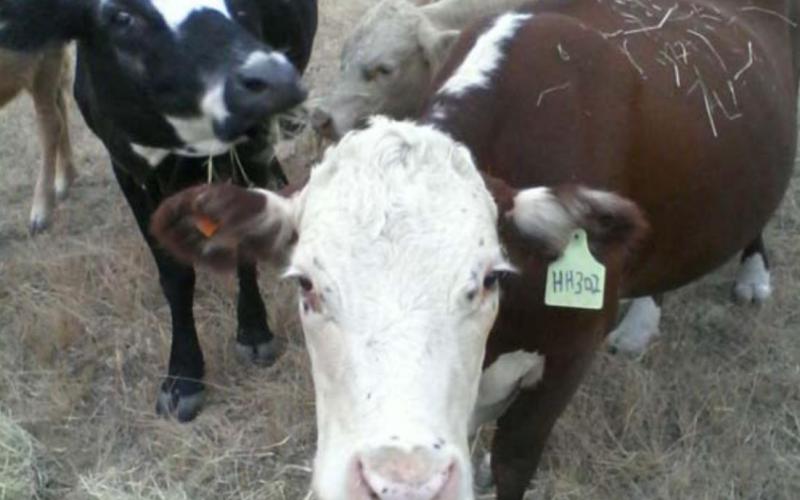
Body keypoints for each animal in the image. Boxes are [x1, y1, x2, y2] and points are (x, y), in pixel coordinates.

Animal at [151, 0, 798, 498]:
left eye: (489, 278)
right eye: (306, 285)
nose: (402, 482)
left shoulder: (568, 357)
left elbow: (513, 459)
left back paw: (746, 277)